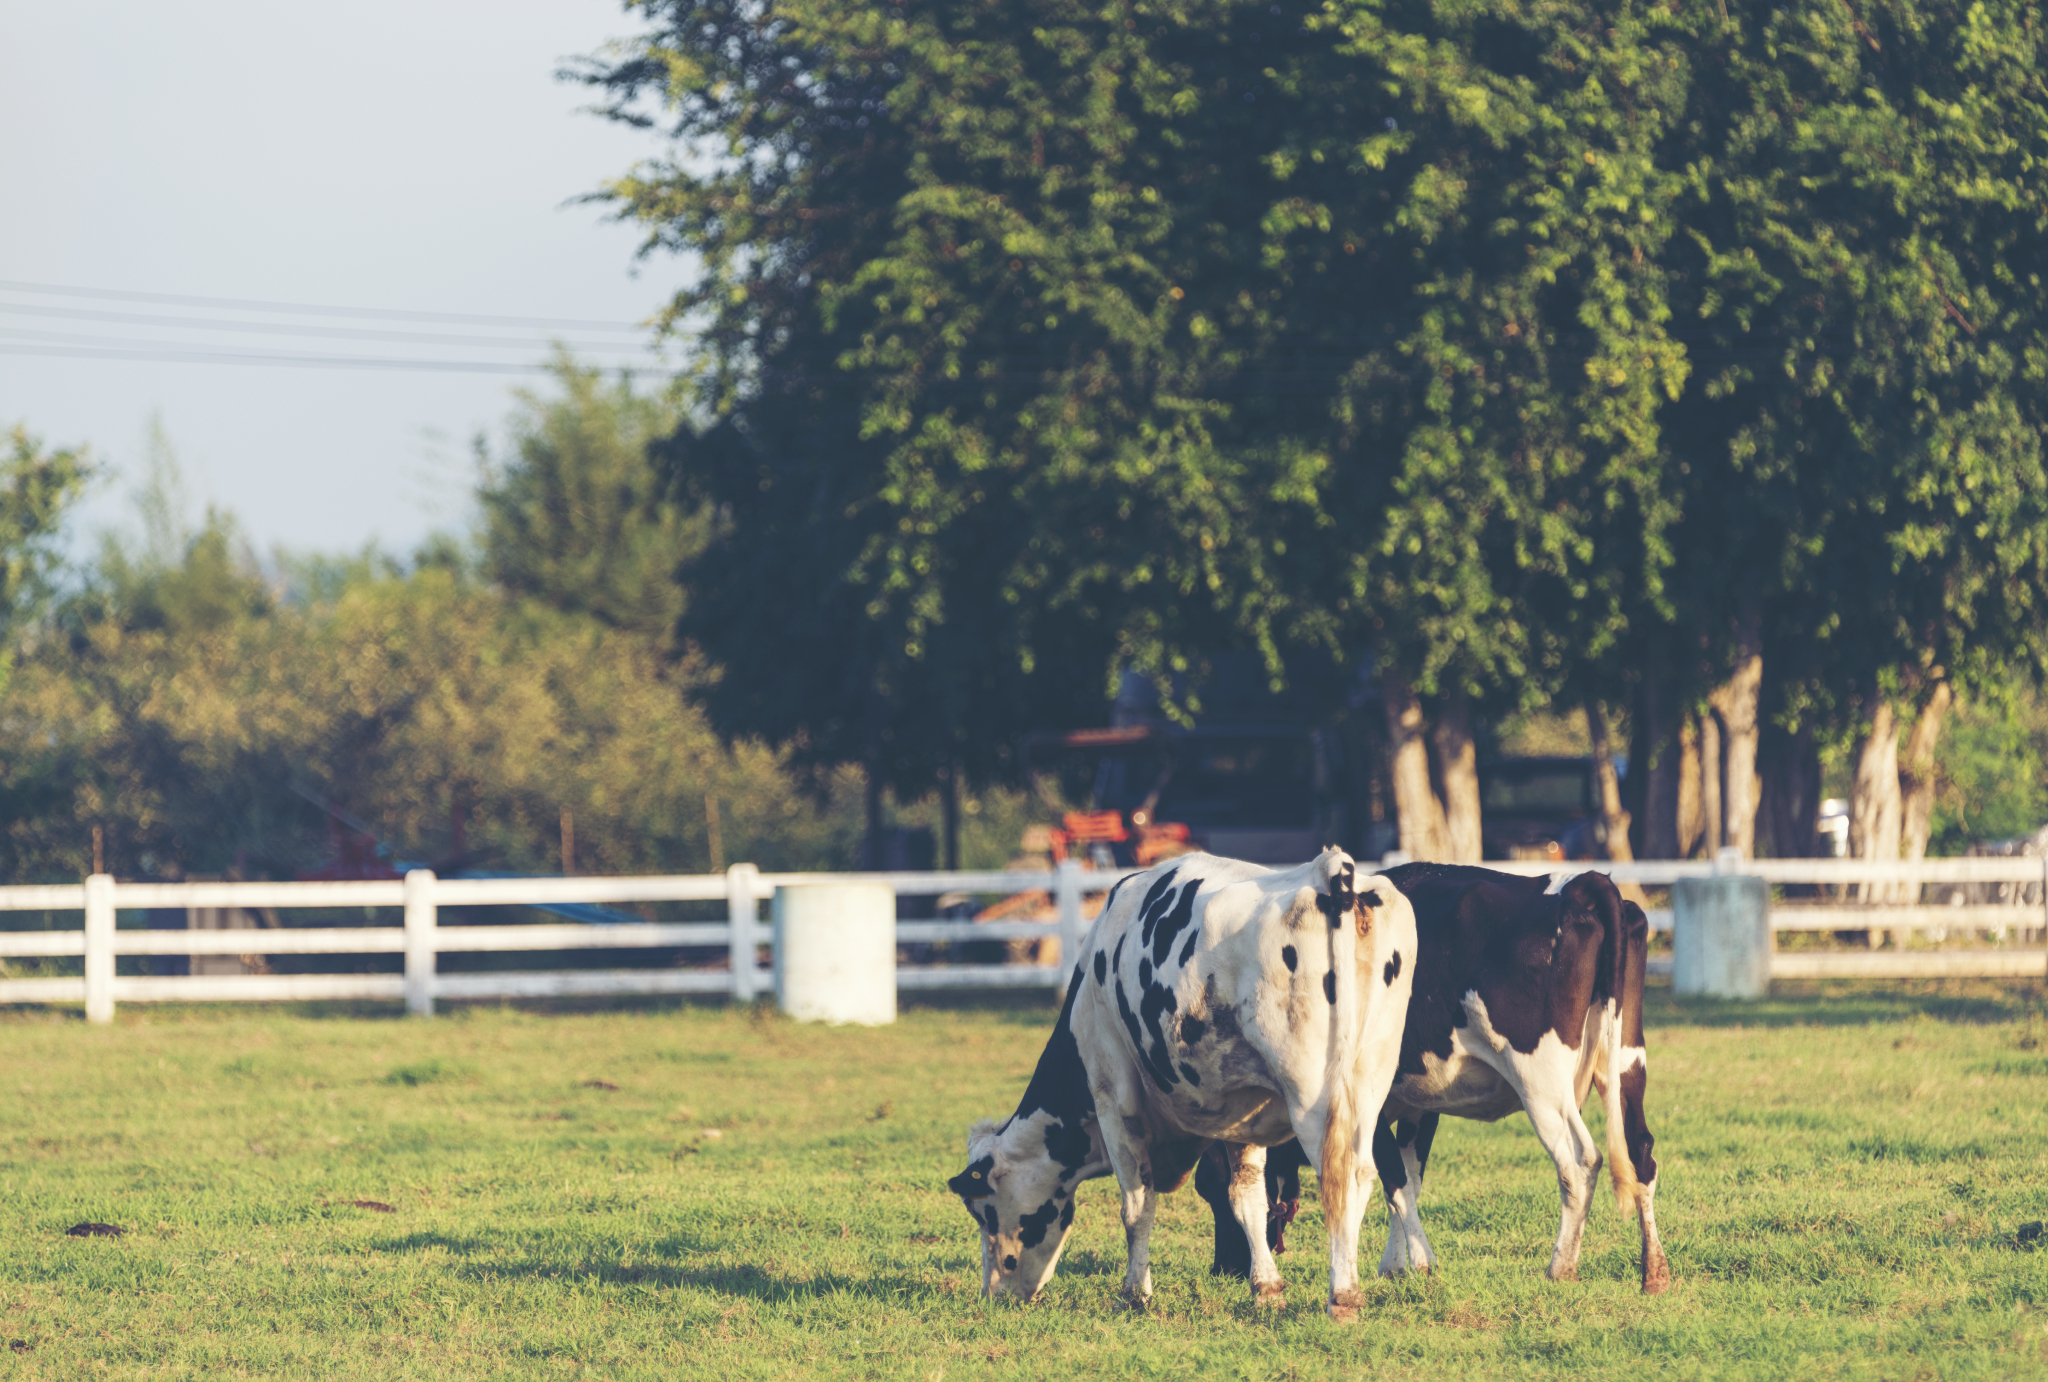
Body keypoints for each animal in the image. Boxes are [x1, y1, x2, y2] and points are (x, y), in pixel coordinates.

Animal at [950, 847, 1417, 1326]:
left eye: (983, 1210)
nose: (994, 1294)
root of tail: (1329, 872)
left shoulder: (1113, 1094)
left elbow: (1136, 1204)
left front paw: (1135, 1294)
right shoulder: (1244, 1107)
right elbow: (1247, 1197)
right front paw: (1266, 1290)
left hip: (1312, 1094)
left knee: (1338, 1176)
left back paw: (1342, 1296)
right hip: (1368, 1080)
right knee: (1363, 1174)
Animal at [1196, 864, 1662, 1293]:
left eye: (1210, 1188)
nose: (1223, 1270)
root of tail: (1578, 884)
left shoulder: (1369, 1106)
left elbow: (1394, 1180)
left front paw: (1420, 1263)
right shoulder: (1417, 1105)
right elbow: (1409, 1177)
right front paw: (1395, 1264)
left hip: (1541, 1079)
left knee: (1579, 1162)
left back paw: (1560, 1268)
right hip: (1627, 1061)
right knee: (1640, 1152)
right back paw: (1654, 1272)